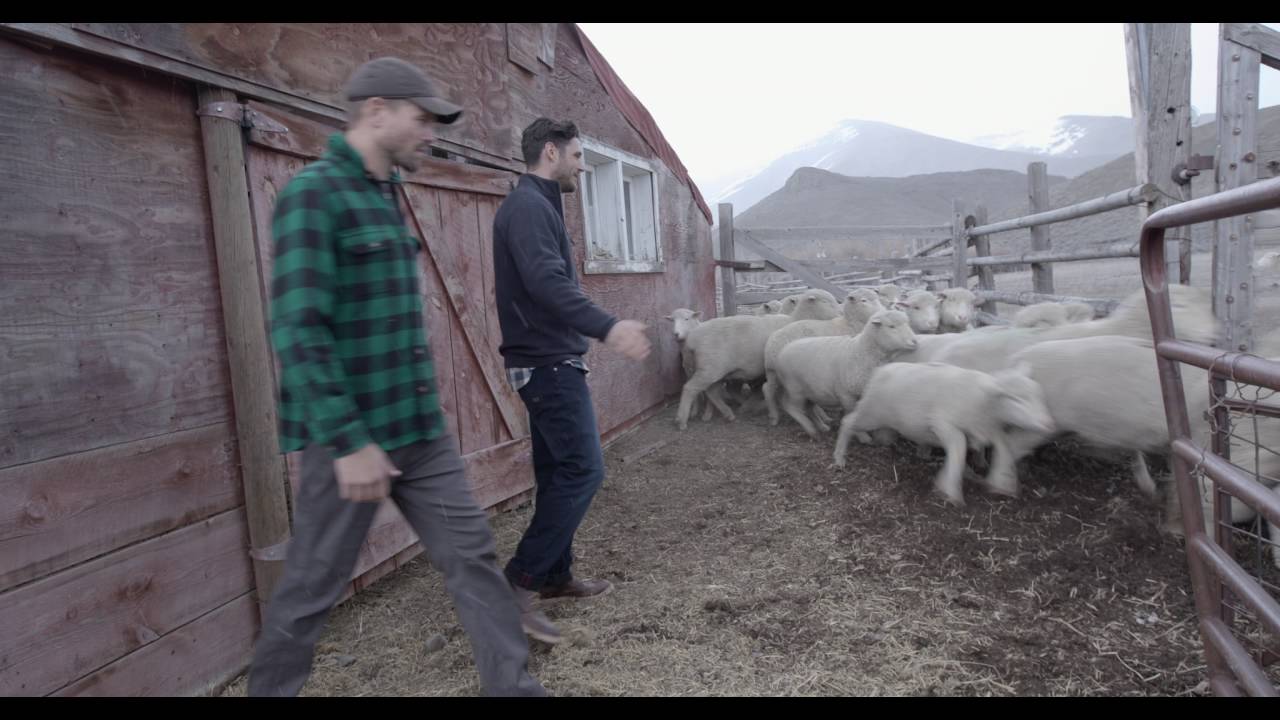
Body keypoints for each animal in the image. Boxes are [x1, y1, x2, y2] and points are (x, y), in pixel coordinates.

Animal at [676, 289, 842, 429]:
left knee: (711, 391)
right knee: (690, 388)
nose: (841, 311)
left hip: (715, 371)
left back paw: (730, 413)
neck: (798, 319)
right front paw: (822, 417)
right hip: (710, 368)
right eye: (826, 302)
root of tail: (692, 338)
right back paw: (682, 420)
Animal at [762, 289, 885, 425]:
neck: (849, 324)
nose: (884, 311)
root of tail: (771, 343)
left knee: (769, 388)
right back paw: (777, 417)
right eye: (864, 300)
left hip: (775, 372)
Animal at [770, 310, 918, 436]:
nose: (914, 341)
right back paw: (810, 428)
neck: (861, 351)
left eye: (908, 323)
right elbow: (851, 414)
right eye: (891, 326)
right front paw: (863, 437)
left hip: (810, 390)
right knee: (790, 406)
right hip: (795, 388)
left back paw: (822, 427)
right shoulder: (846, 394)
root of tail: (783, 350)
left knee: (809, 407)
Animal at [833, 362, 1055, 506]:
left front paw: (1002, 483)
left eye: (1038, 394)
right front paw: (950, 489)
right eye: (1015, 399)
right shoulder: (942, 423)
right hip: (872, 412)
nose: (1049, 424)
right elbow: (959, 445)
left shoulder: (989, 428)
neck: (983, 403)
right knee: (848, 422)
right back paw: (840, 456)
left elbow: (1003, 447)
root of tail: (881, 370)